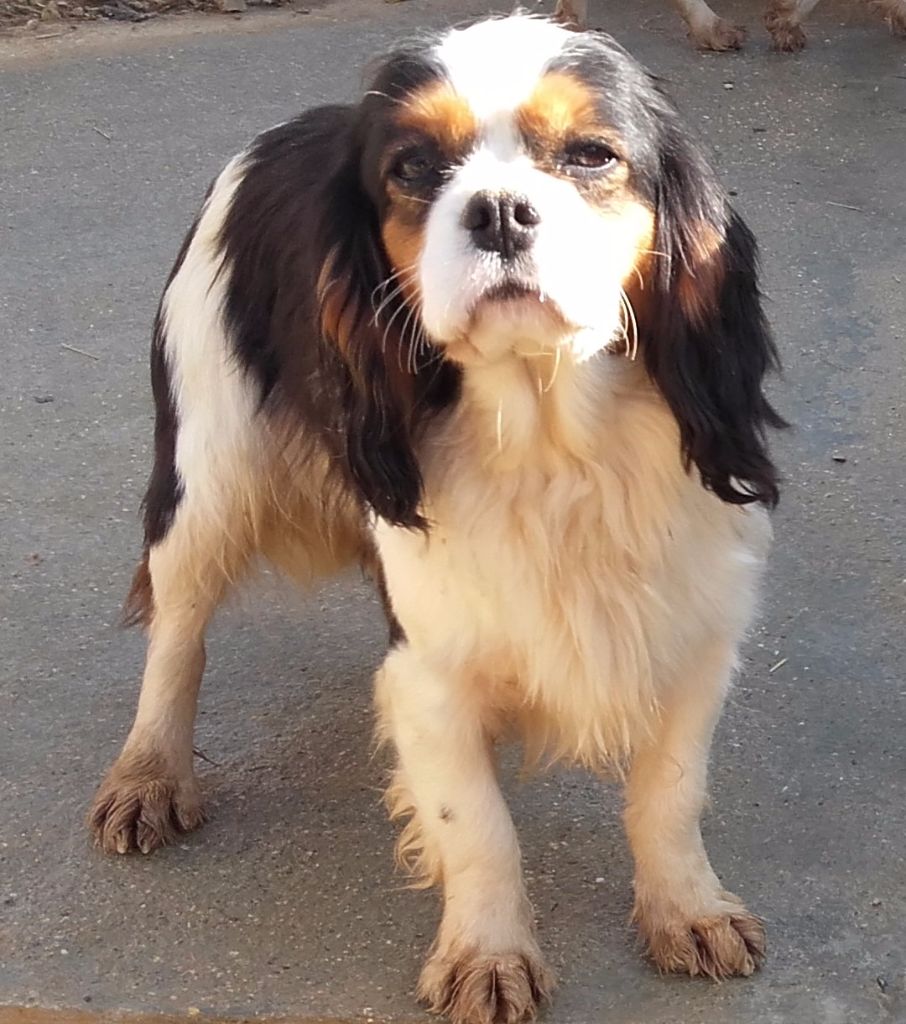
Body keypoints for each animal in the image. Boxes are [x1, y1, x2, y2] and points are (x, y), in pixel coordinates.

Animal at [89, 14, 785, 1023]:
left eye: (592, 155)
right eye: (415, 168)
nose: (497, 211)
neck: (552, 442)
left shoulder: (696, 634)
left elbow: (669, 791)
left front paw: (685, 909)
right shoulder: (431, 672)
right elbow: (477, 822)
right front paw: (487, 952)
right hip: (204, 481)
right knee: (178, 632)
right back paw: (149, 772)